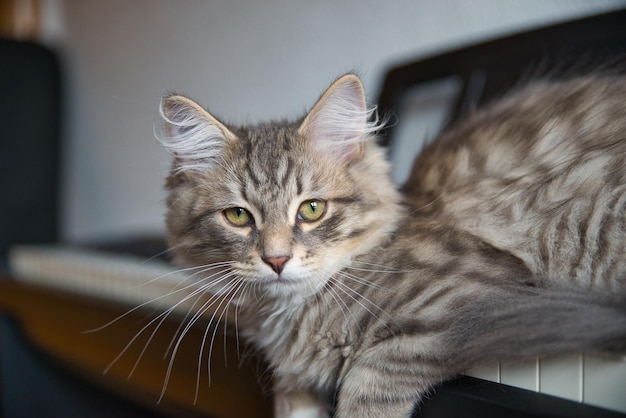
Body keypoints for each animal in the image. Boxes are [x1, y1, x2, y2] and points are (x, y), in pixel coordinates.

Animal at [155, 73, 624, 416]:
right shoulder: (292, 380)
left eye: (311, 210)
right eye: (238, 216)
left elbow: (372, 379)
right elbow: (290, 399)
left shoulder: (476, 303)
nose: (277, 259)